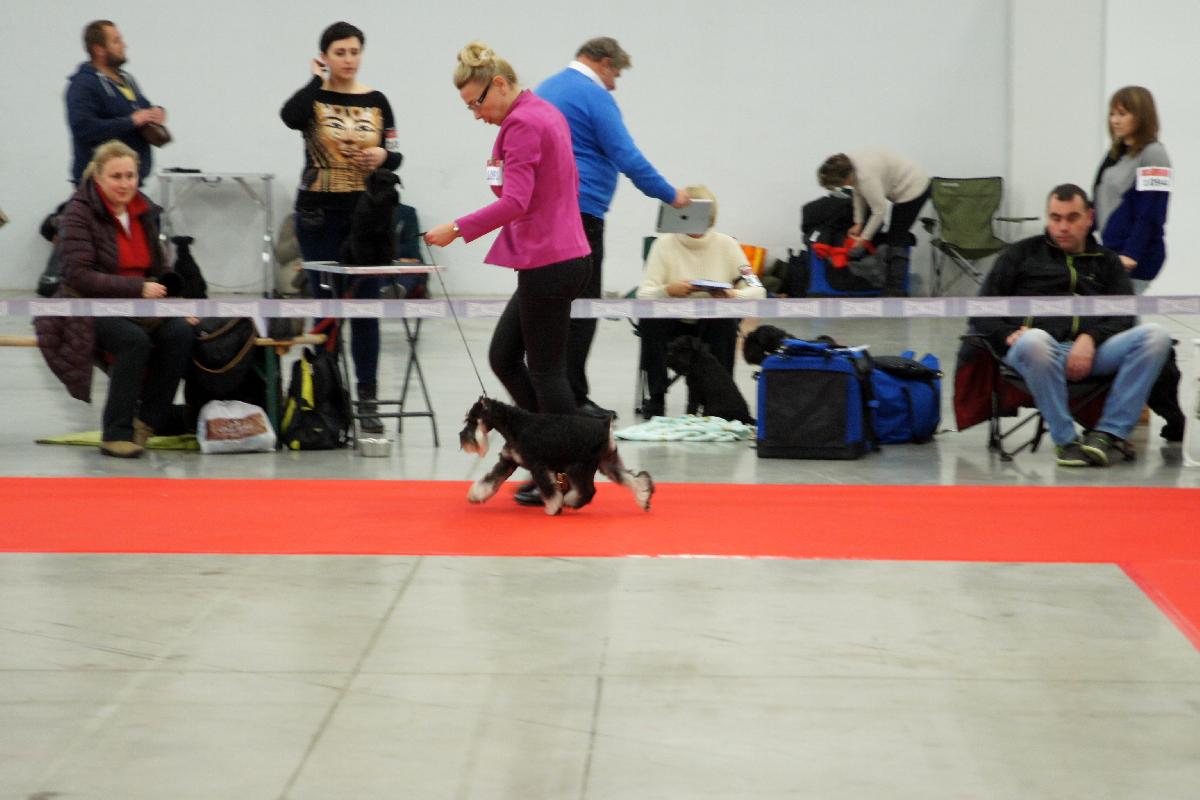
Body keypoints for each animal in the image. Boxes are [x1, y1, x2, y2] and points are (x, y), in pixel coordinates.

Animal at [459, 396, 654, 516]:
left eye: (472, 420)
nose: (462, 439)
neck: (515, 424)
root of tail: (606, 427)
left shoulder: (538, 467)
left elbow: (549, 490)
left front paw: (553, 507)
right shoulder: (507, 462)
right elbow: (490, 480)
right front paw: (476, 495)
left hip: (579, 468)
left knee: (588, 490)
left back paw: (570, 501)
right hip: (607, 464)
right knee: (631, 478)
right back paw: (643, 497)